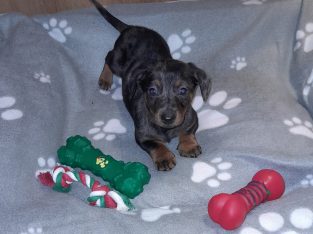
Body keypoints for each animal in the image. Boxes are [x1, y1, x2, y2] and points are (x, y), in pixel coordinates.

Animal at [90, 0, 212, 172]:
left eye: (183, 90)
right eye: (152, 91)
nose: (167, 118)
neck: (166, 129)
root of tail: (131, 27)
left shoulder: (191, 117)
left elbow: (187, 131)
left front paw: (189, 146)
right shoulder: (142, 135)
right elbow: (154, 144)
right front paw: (164, 157)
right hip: (118, 61)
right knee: (108, 56)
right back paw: (105, 79)